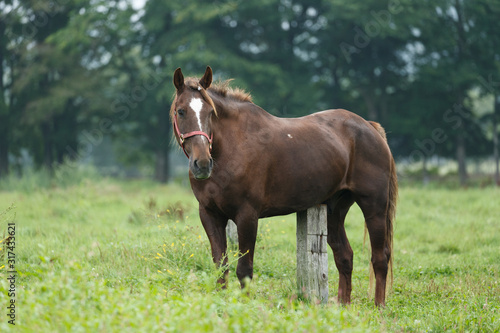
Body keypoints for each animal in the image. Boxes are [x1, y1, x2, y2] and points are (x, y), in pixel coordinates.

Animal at [172, 65, 398, 306]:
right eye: (181, 111)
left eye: (210, 113)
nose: (203, 164)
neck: (233, 147)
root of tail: (370, 127)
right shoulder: (209, 214)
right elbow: (220, 266)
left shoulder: (247, 216)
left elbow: (244, 270)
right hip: (335, 209)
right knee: (345, 256)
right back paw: (343, 306)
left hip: (374, 206)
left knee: (380, 257)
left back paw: (379, 307)